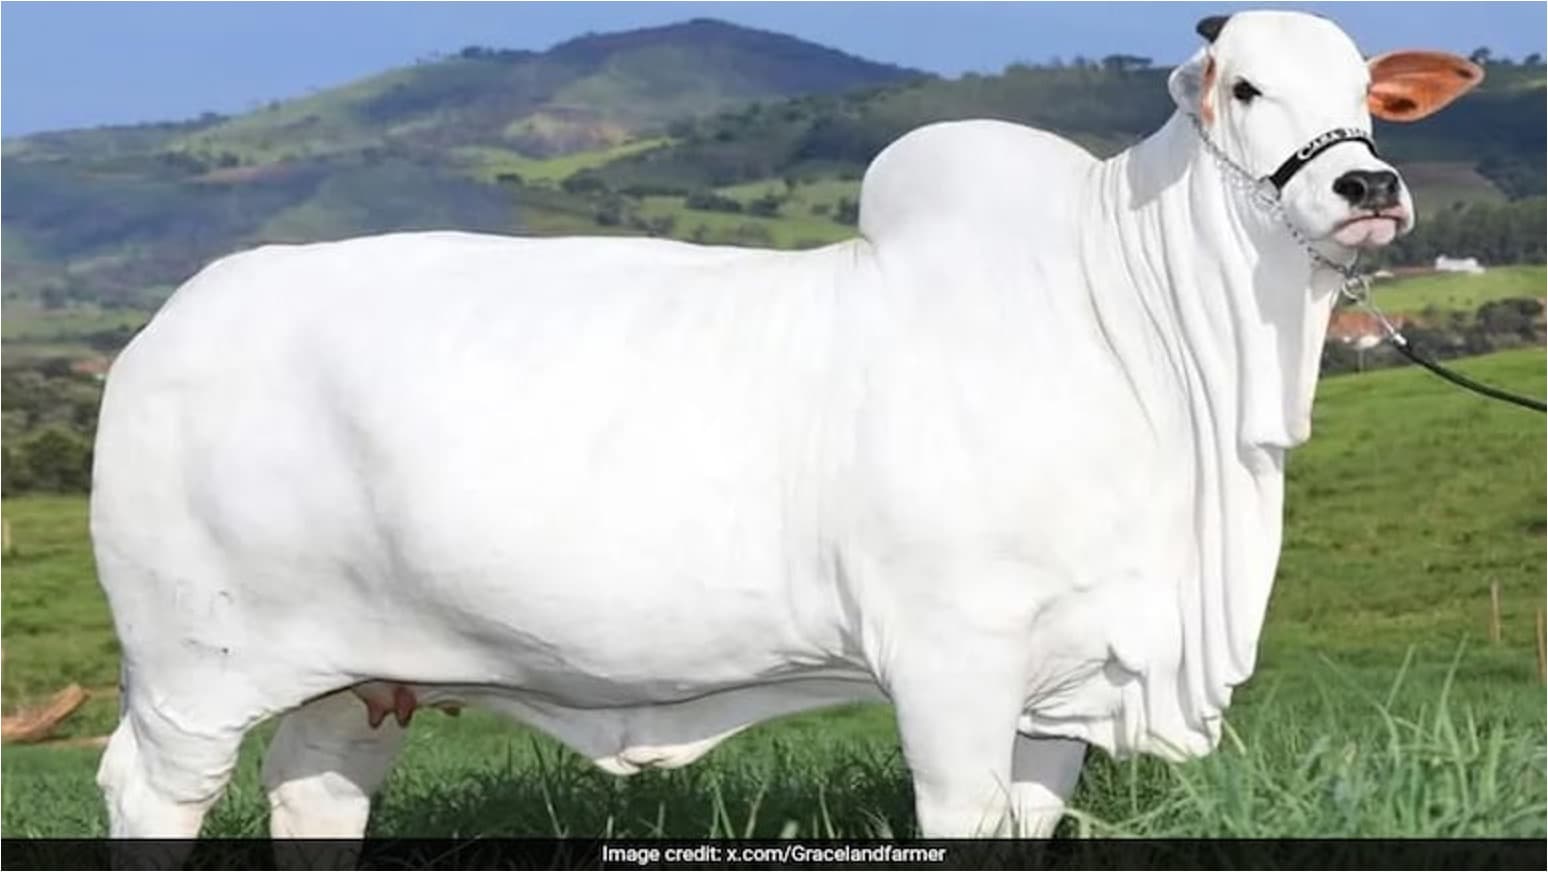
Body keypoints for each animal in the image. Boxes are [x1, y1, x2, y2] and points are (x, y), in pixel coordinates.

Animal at [92, 11, 1481, 839]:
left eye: (1368, 92)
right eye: (1244, 85)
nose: (1369, 185)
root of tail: (166, 329)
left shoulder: (1065, 685)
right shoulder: (952, 661)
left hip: (357, 674)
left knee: (317, 791)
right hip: (192, 669)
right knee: (149, 791)